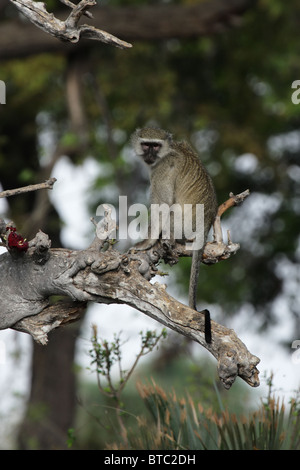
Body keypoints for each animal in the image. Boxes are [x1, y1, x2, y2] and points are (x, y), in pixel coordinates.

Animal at [130, 127, 217, 342]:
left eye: (155, 146)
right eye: (146, 144)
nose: (150, 154)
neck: (169, 150)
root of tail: (205, 227)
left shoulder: (162, 170)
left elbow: (162, 206)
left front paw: (146, 243)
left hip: (183, 225)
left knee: (169, 213)